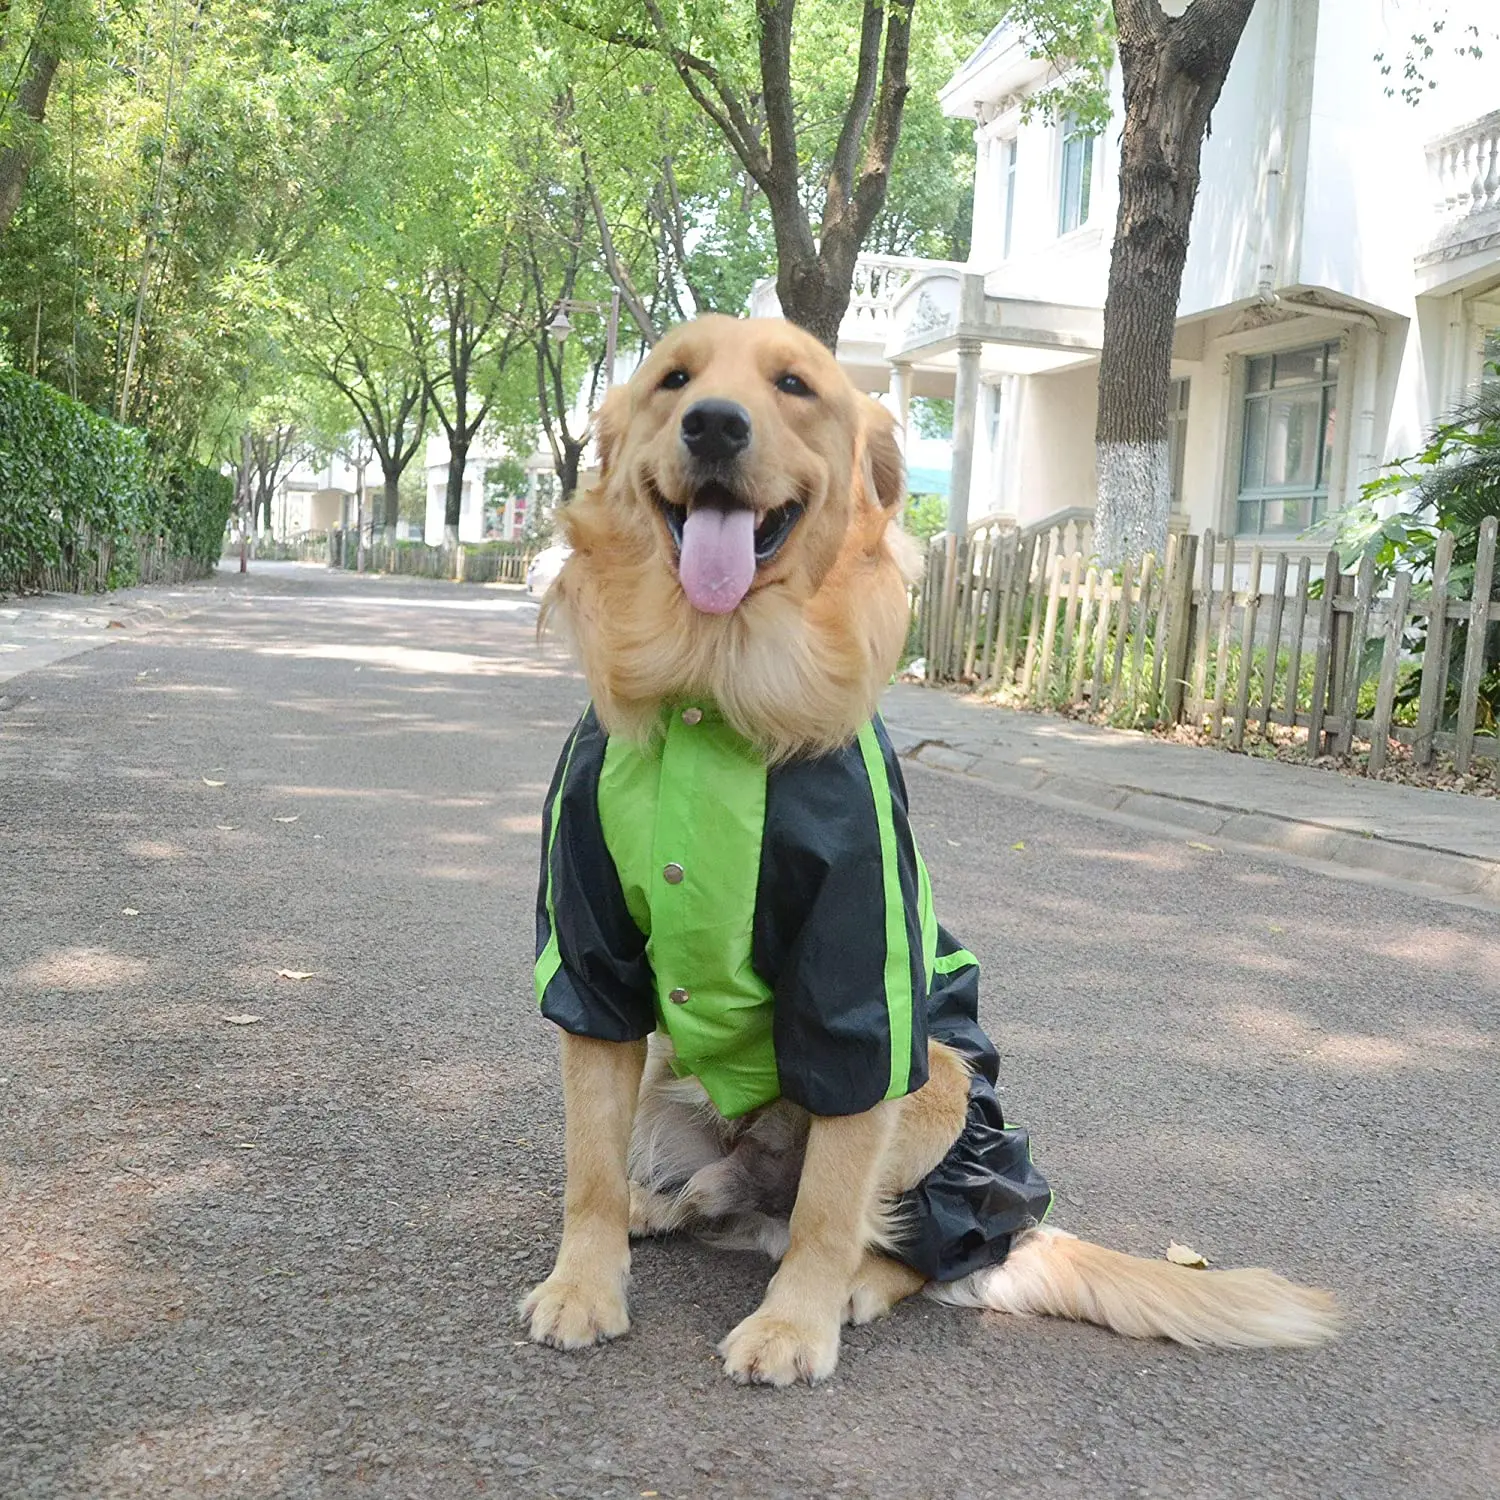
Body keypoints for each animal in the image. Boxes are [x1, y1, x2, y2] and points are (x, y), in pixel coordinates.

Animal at [519, 313, 1338, 1380]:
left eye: (794, 384)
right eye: (674, 380)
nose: (714, 425)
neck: (718, 682)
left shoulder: (862, 992)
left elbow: (832, 1204)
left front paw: (794, 1328)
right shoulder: (592, 960)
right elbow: (589, 1166)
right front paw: (583, 1284)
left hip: (943, 1085)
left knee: (876, 1237)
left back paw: (853, 1286)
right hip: (673, 1076)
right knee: (717, 1201)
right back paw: (663, 1208)